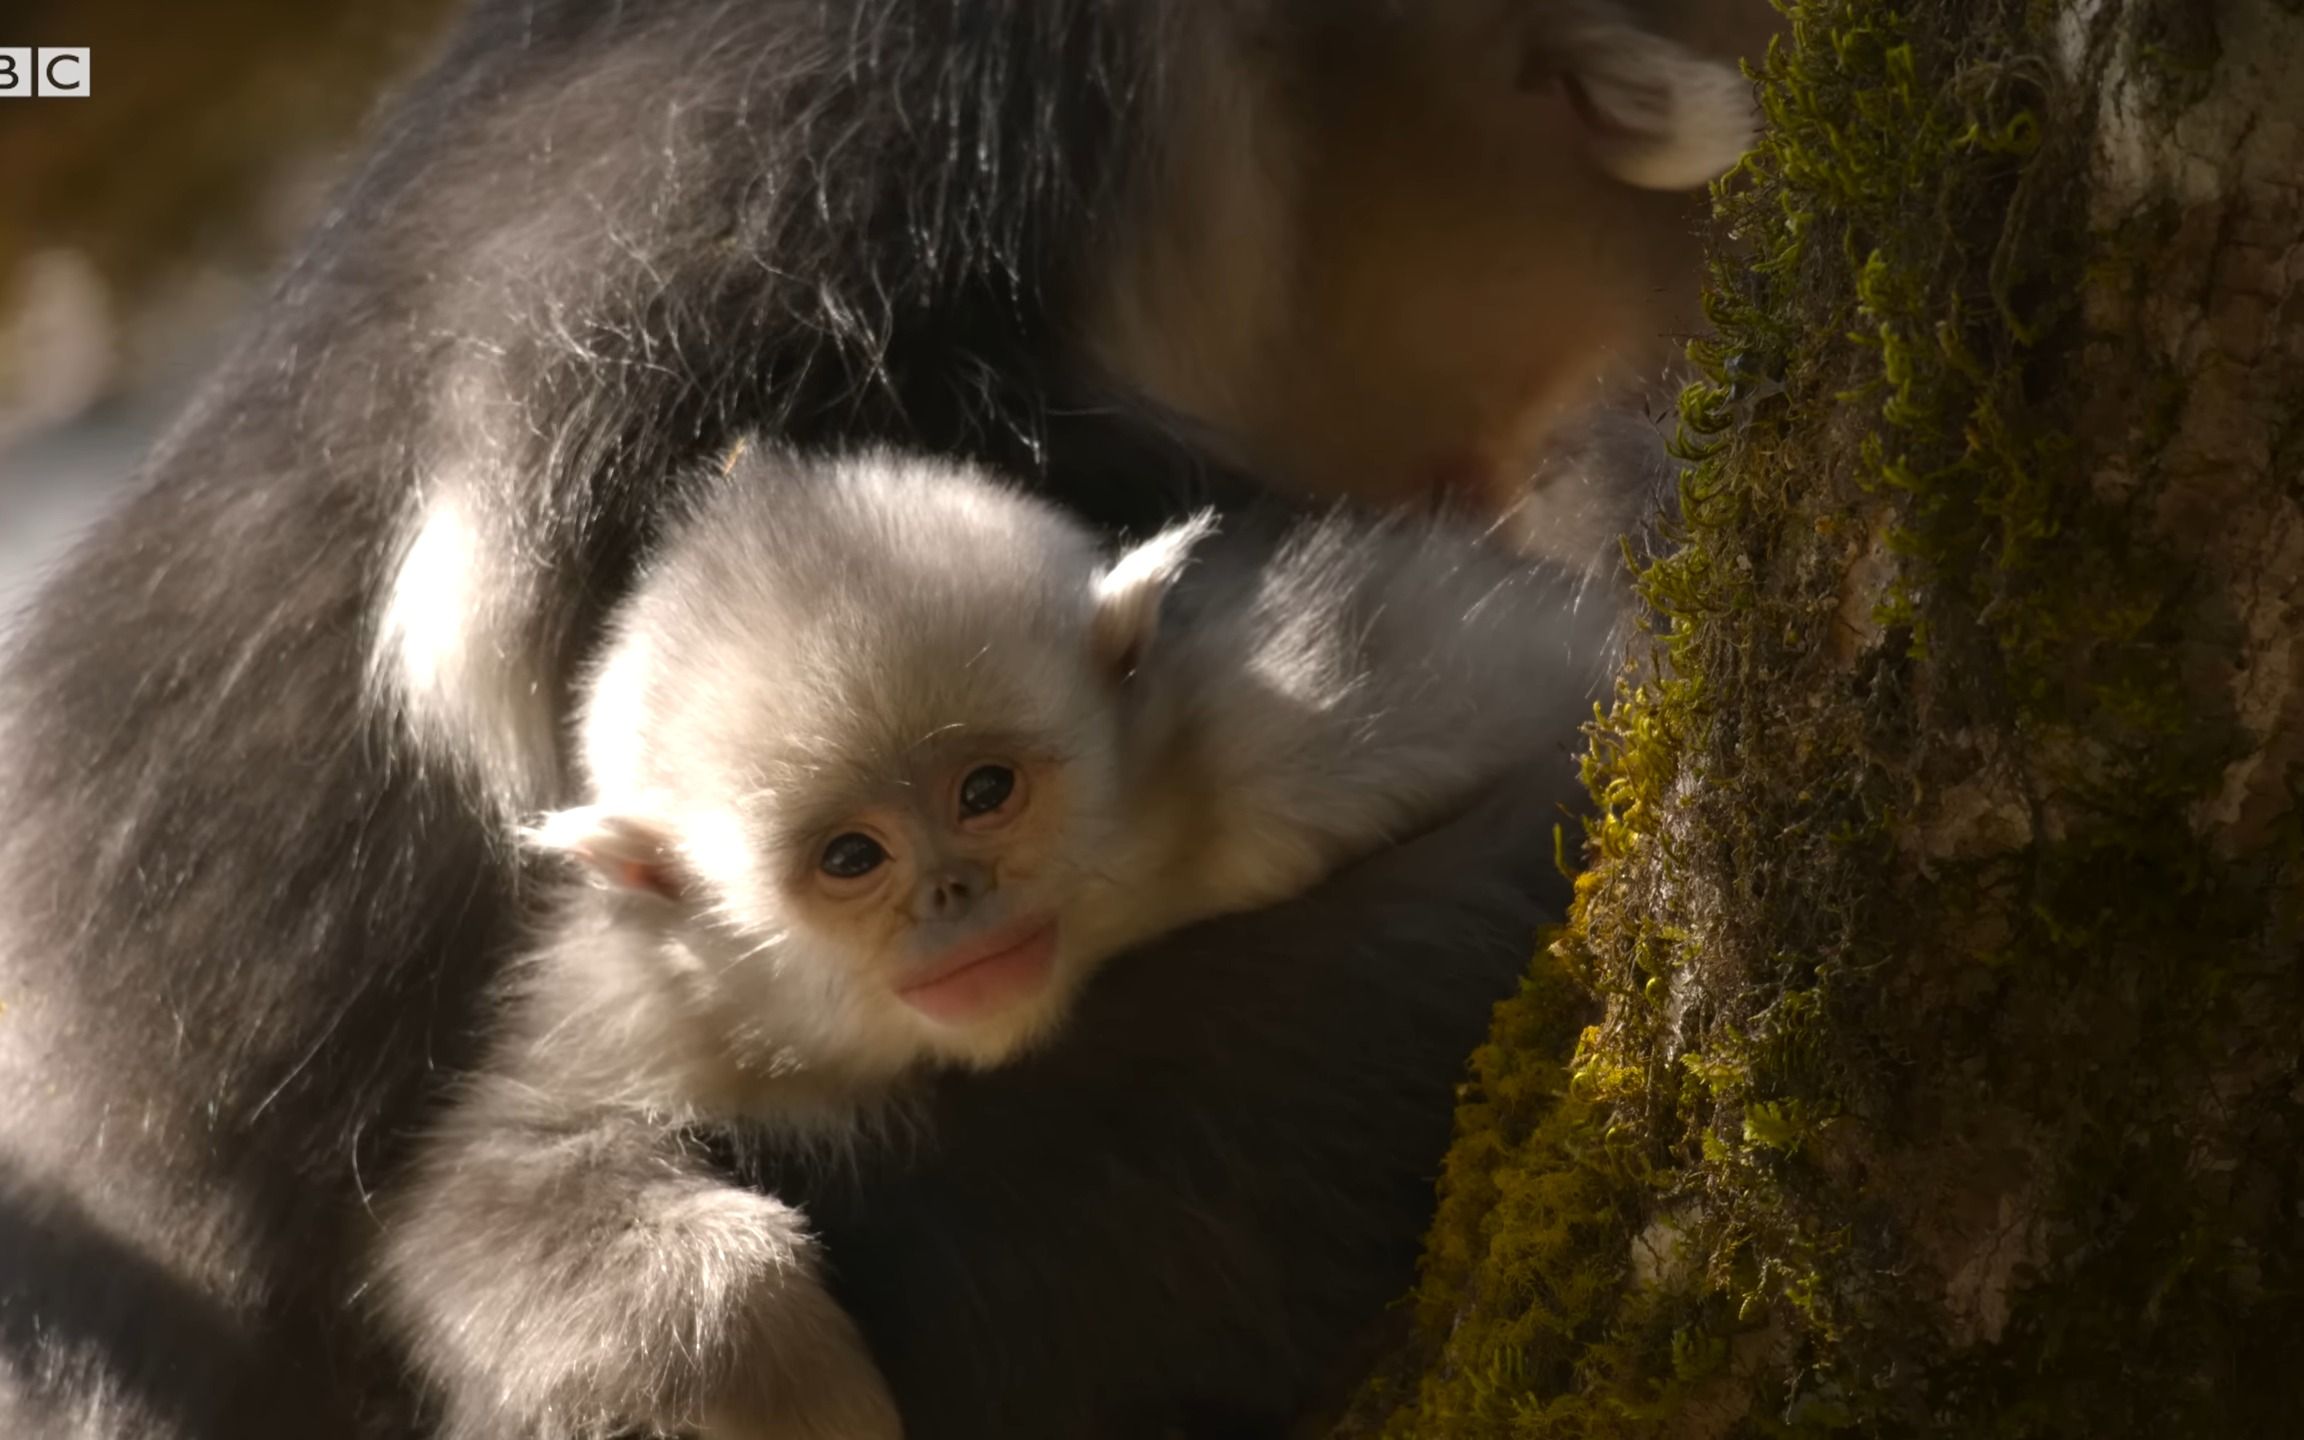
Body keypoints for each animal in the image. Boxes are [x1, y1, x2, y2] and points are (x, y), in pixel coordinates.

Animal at [382, 444, 1603, 1428]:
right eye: (853, 858)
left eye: (984, 791)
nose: (955, 894)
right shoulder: (657, 997)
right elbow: (499, 1181)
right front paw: (780, 1376)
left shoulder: (1293, 727)